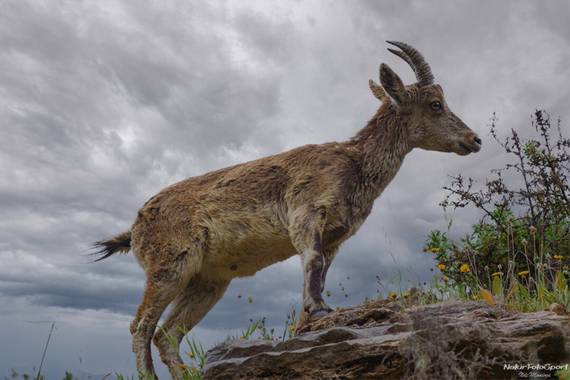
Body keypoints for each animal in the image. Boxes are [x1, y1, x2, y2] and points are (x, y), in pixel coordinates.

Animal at [93, 41, 480, 378]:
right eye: (435, 103)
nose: (474, 139)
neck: (354, 164)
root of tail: (135, 227)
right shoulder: (306, 215)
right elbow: (313, 262)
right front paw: (320, 310)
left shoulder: (335, 237)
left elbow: (319, 272)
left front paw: (308, 320)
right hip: (169, 266)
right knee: (142, 326)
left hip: (208, 281)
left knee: (168, 333)